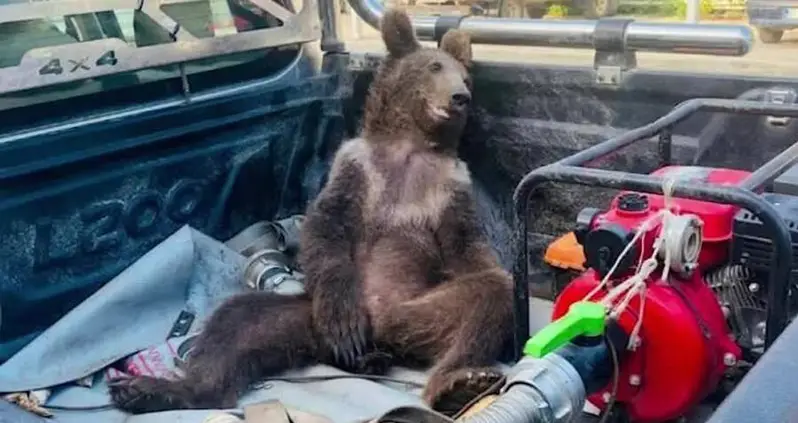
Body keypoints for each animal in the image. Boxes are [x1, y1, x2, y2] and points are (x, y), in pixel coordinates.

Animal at [108, 8, 515, 417]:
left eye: (465, 77)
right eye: (434, 66)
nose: (461, 96)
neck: (410, 146)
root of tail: (382, 340)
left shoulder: (450, 186)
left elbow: (466, 247)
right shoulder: (356, 167)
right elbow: (327, 227)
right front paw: (344, 320)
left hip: (416, 310)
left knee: (487, 298)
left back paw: (457, 382)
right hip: (306, 316)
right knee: (235, 322)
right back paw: (155, 390)